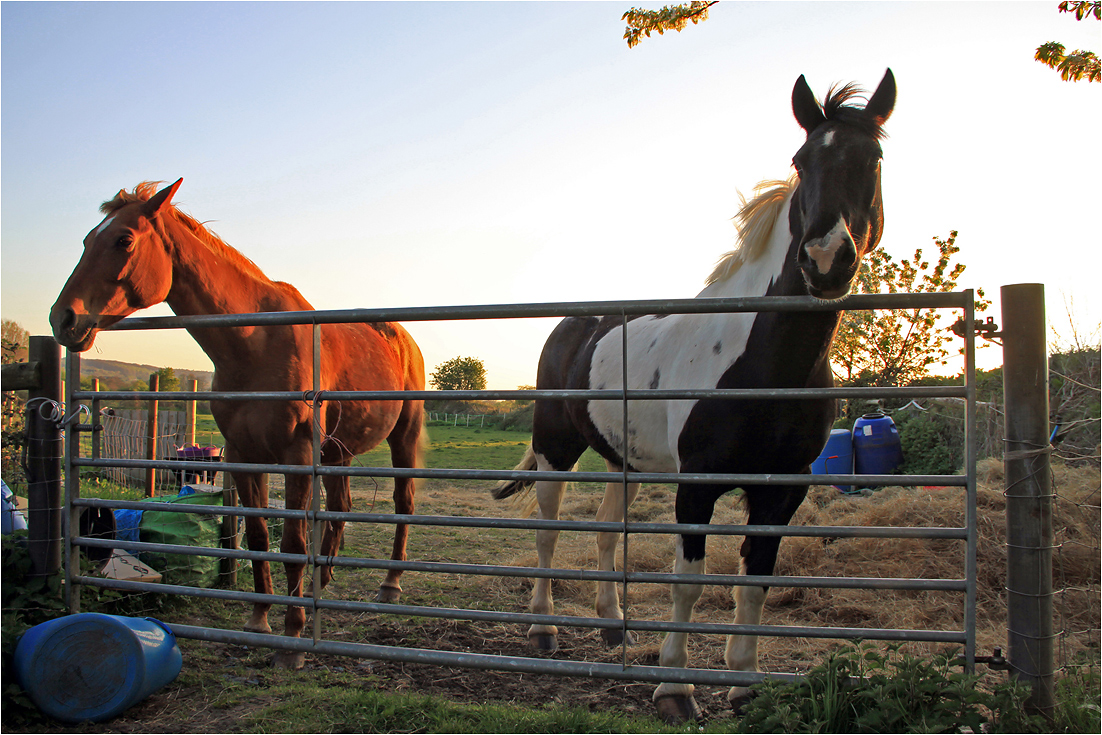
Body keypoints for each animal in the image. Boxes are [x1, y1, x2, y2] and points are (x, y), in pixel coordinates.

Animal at [50, 180, 425, 669]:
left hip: (401, 437)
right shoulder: (245, 456)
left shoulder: (297, 455)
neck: (254, 342)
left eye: (123, 240)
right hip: (337, 450)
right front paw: (261, 618)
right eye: (86, 240)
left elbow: (292, 543)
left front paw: (293, 635)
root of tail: (404, 338)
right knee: (340, 507)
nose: (63, 318)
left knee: (403, 503)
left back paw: (389, 585)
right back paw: (320, 587)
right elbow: (260, 537)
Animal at [491, 70, 894, 722]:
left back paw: (612, 624)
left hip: (624, 461)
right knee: (547, 529)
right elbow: (689, 580)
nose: (825, 259)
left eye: (873, 160)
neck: (764, 364)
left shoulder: (782, 489)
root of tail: (573, 325)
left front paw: (744, 683)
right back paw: (543, 628)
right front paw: (675, 688)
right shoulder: (697, 485)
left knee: (606, 530)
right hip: (556, 448)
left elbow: (755, 580)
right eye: (801, 161)